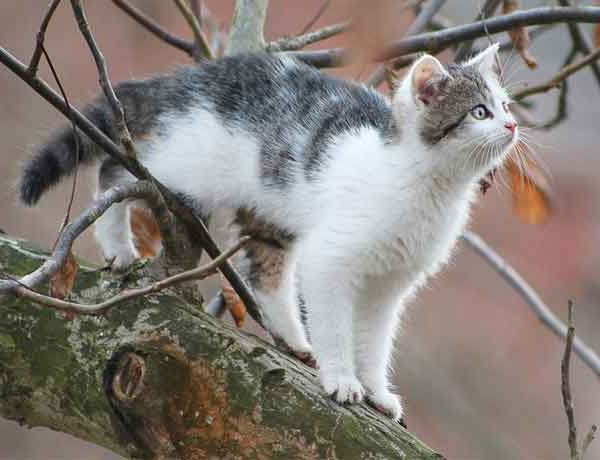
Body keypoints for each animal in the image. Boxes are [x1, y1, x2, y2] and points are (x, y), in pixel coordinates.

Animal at [17, 43, 516, 420]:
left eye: (505, 105)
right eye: (479, 112)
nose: (512, 124)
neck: (427, 184)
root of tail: (195, 77)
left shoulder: (390, 283)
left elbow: (375, 340)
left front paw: (376, 390)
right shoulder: (331, 258)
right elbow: (335, 324)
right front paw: (341, 380)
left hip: (270, 210)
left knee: (266, 272)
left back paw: (292, 337)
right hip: (185, 170)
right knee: (116, 171)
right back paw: (118, 243)